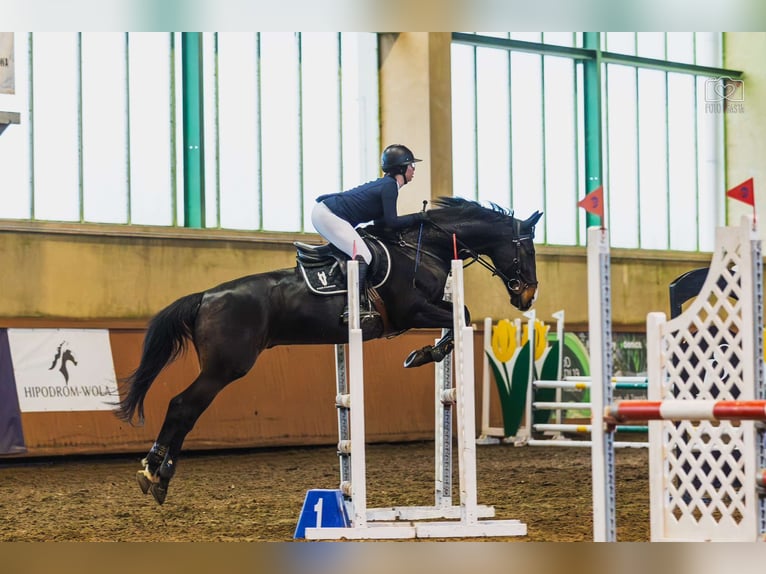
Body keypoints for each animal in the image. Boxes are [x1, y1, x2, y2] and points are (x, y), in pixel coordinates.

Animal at [115, 197, 544, 504]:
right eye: (527, 250)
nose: (527, 297)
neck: (423, 247)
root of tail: (205, 296)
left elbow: (460, 318)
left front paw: (426, 353)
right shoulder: (412, 310)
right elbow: (464, 317)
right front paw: (424, 355)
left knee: (183, 407)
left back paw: (155, 472)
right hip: (225, 367)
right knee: (183, 407)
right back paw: (156, 473)